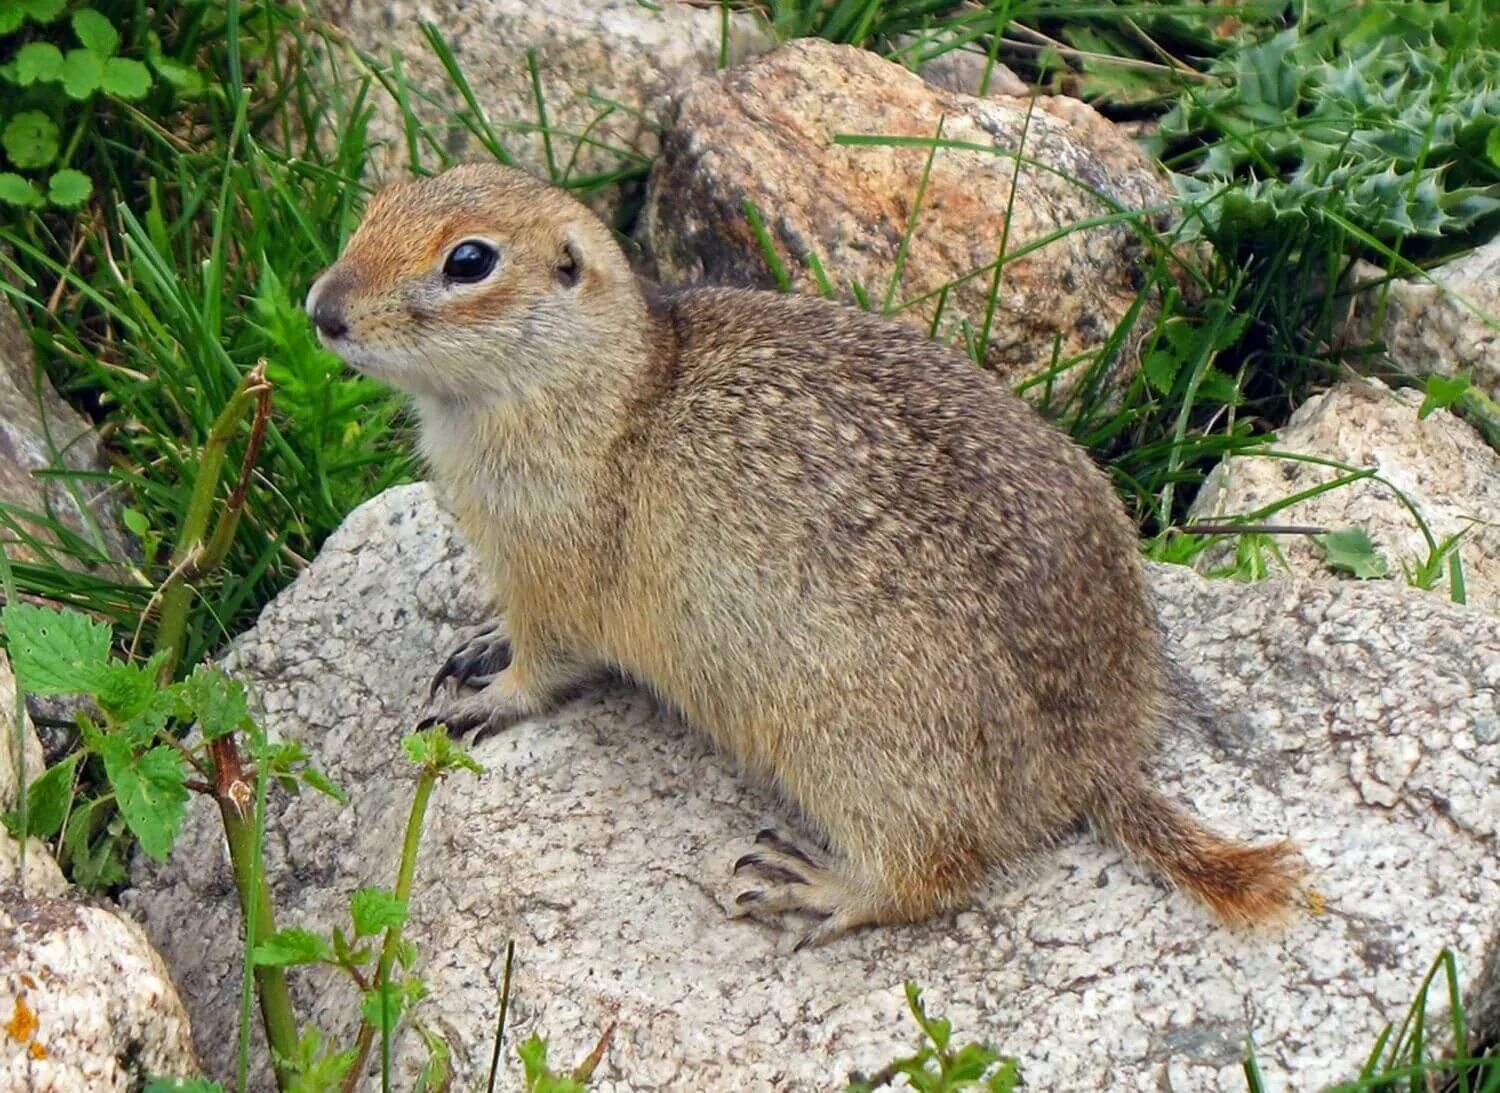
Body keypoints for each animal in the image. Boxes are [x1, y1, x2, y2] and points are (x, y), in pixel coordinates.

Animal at [301, 159, 1302, 947]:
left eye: (469, 260)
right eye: (379, 200)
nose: (321, 309)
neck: (612, 377)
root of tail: (1098, 758)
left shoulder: (554, 567)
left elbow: (548, 664)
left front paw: (486, 697)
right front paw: (476, 642)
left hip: (855, 752)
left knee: (937, 871)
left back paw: (815, 886)